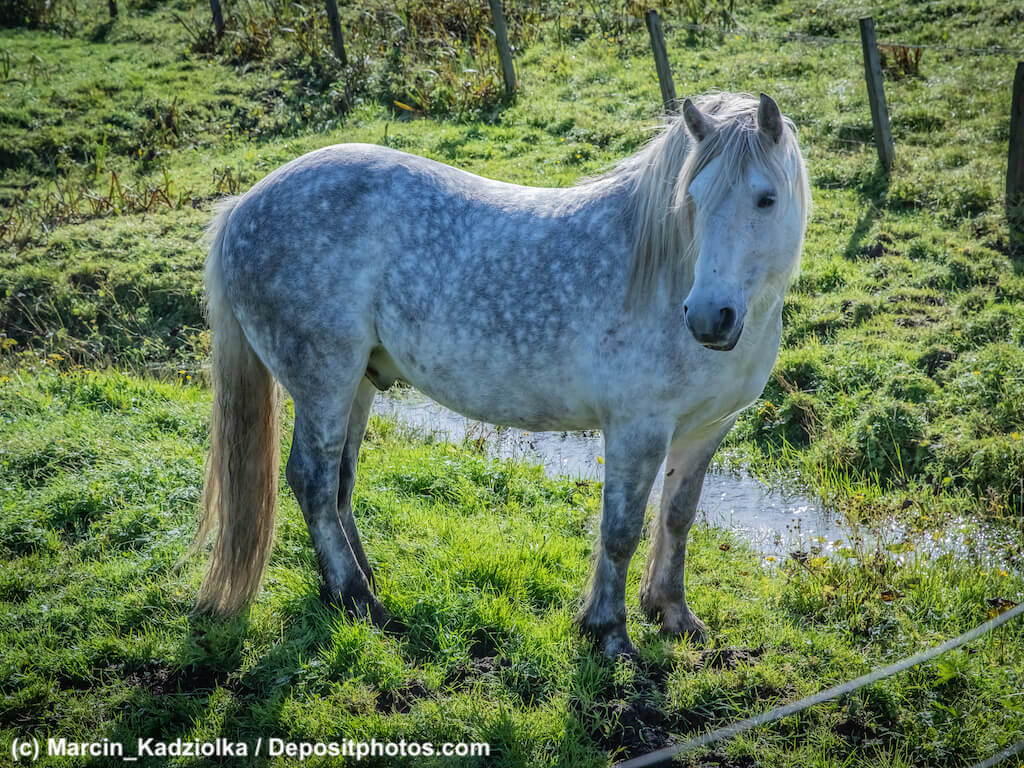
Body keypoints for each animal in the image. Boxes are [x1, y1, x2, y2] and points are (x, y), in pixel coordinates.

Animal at [193, 91, 810, 657]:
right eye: (693, 197)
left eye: (766, 198)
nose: (708, 317)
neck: (662, 272)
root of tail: (244, 205)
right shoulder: (637, 428)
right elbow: (621, 531)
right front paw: (609, 633)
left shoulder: (707, 429)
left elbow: (677, 519)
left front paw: (674, 615)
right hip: (324, 380)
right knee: (313, 482)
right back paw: (361, 602)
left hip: (358, 384)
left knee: (340, 483)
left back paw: (355, 585)